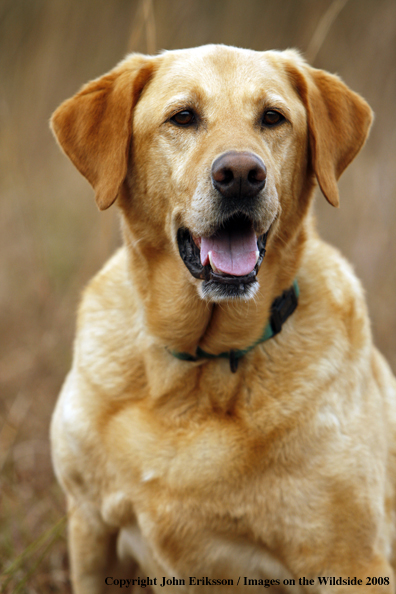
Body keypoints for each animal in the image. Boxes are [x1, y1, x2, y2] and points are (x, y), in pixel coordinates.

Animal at [49, 44, 396, 588]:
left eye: (272, 117)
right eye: (183, 117)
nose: (240, 175)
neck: (197, 364)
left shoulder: (349, 563)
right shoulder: (90, 531)